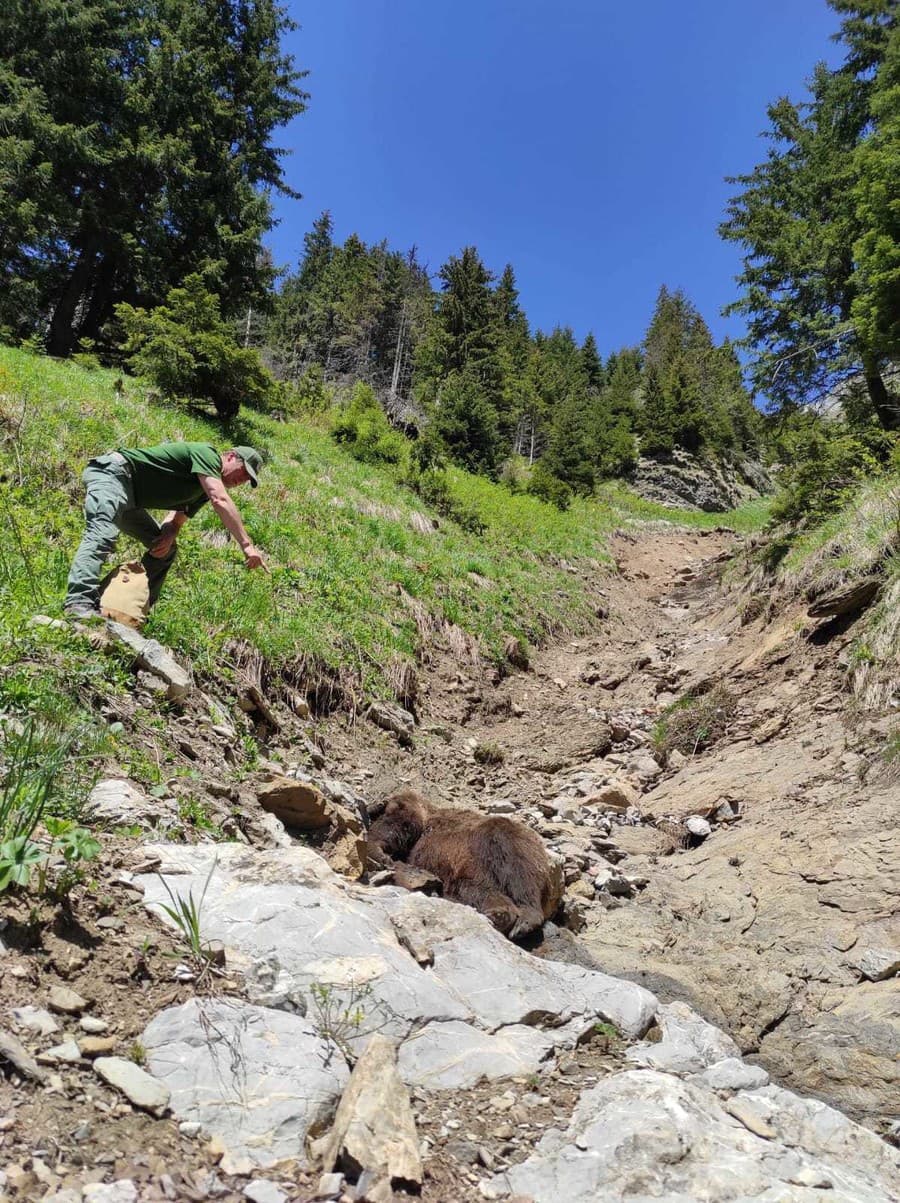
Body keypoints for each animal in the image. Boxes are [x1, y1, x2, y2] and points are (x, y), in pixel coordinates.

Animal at [365, 789, 555, 938]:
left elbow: (396, 825)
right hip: (468, 871)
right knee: (476, 889)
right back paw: (499, 914)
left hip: (504, 846)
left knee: (519, 876)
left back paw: (521, 921)